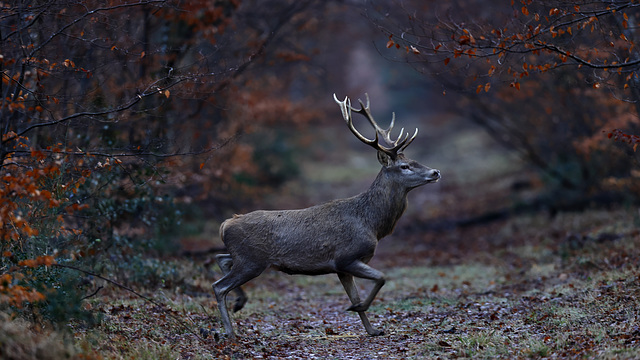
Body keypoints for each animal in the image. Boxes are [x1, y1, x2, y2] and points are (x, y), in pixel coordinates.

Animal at [214, 93, 440, 338]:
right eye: (405, 166)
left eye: (414, 160)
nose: (435, 172)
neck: (371, 224)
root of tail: (226, 224)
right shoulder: (346, 256)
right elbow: (381, 277)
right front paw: (358, 309)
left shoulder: (342, 268)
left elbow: (356, 293)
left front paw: (371, 328)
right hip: (251, 260)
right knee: (219, 286)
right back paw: (229, 331)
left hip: (246, 258)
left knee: (222, 259)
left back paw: (239, 302)